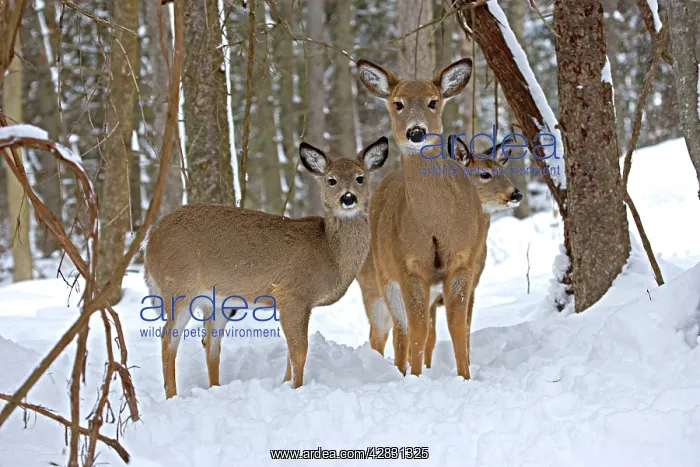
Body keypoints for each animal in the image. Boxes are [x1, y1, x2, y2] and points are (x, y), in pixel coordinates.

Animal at [144, 137, 389, 398]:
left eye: (360, 177)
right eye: (331, 180)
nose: (348, 198)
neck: (330, 253)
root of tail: (150, 241)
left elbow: (291, 353)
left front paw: (285, 385)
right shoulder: (292, 294)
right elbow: (299, 351)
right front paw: (296, 388)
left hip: (218, 301)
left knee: (211, 345)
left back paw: (215, 388)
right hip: (178, 285)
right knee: (168, 339)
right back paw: (172, 396)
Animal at [355, 57, 523, 379]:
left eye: (433, 101)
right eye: (398, 103)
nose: (416, 132)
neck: (434, 224)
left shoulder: (463, 265)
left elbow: (458, 328)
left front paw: (464, 377)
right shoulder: (408, 267)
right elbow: (419, 331)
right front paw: (417, 378)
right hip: (381, 278)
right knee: (397, 331)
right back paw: (400, 371)